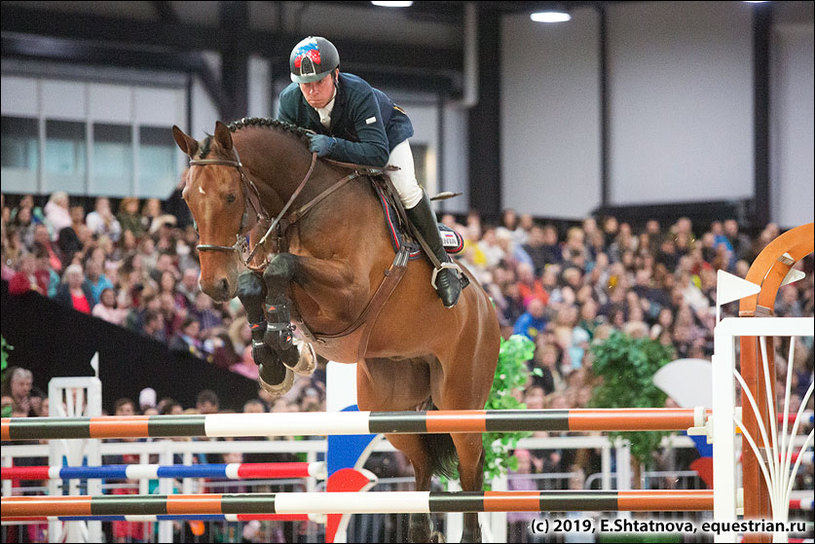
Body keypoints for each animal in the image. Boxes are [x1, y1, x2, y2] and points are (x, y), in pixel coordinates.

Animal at [175, 118, 500, 540]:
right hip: (390, 407)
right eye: (187, 199)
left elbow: (281, 267)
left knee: (470, 467)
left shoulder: (348, 293)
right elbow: (255, 283)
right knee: (422, 462)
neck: (301, 205)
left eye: (230, 197)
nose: (213, 285)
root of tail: (487, 307)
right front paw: (277, 359)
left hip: (460, 403)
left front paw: (287, 349)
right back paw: (421, 529)